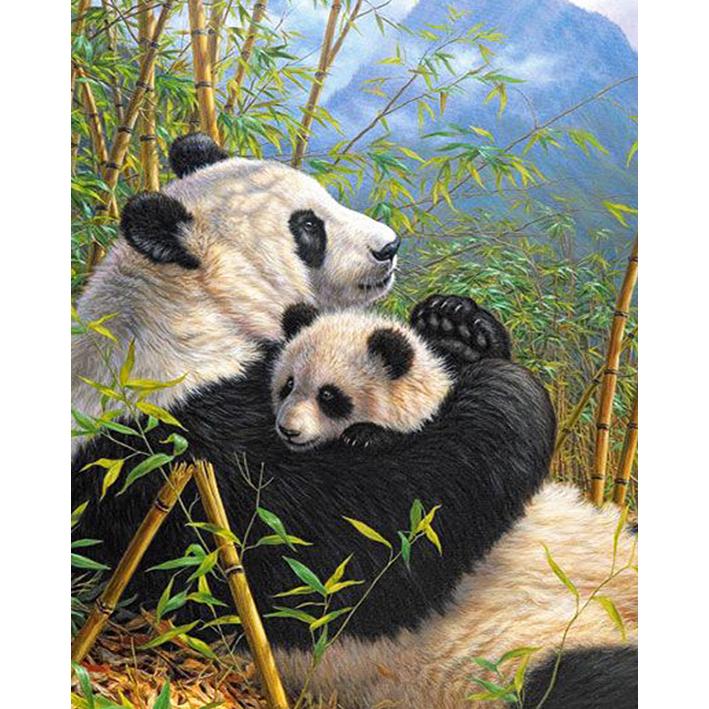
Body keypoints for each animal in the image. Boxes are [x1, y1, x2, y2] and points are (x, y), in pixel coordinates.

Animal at [74, 294, 635, 707]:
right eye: (287, 386)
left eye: (327, 396)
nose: (289, 428)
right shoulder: (177, 473)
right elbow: (364, 546)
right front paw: (502, 385)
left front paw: (459, 330)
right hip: (514, 663)